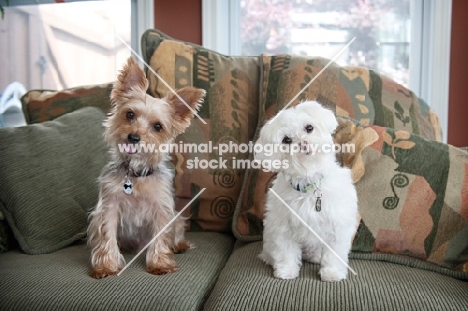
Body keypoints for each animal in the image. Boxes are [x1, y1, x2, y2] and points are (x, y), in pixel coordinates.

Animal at [256, 100, 358, 282]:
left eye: (309, 128)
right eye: (287, 140)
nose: (303, 143)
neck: (310, 183)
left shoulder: (337, 225)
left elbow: (334, 253)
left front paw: (332, 272)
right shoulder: (282, 227)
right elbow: (285, 251)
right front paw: (286, 271)